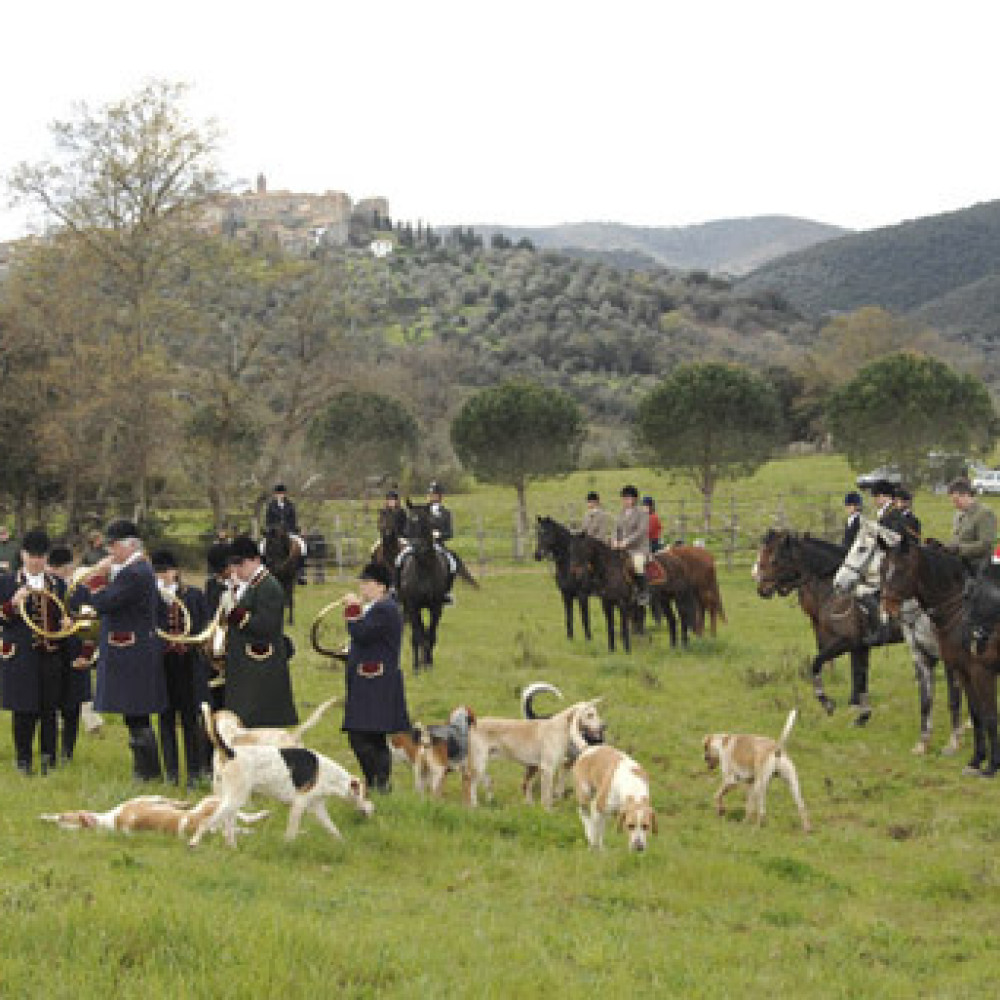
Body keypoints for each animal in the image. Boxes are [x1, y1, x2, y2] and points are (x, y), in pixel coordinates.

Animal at [752, 528, 904, 724]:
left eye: (774, 560)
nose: (761, 589)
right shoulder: (858, 645)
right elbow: (859, 674)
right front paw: (861, 713)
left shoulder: (847, 642)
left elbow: (817, 663)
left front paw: (828, 703)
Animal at [880, 536, 996, 776]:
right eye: (882, 568)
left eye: (902, 569)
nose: (887, 607)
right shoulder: (926, 659)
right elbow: (928, 701)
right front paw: (923, 743)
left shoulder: (963, 667)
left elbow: (961, 703)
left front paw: (954, 743)